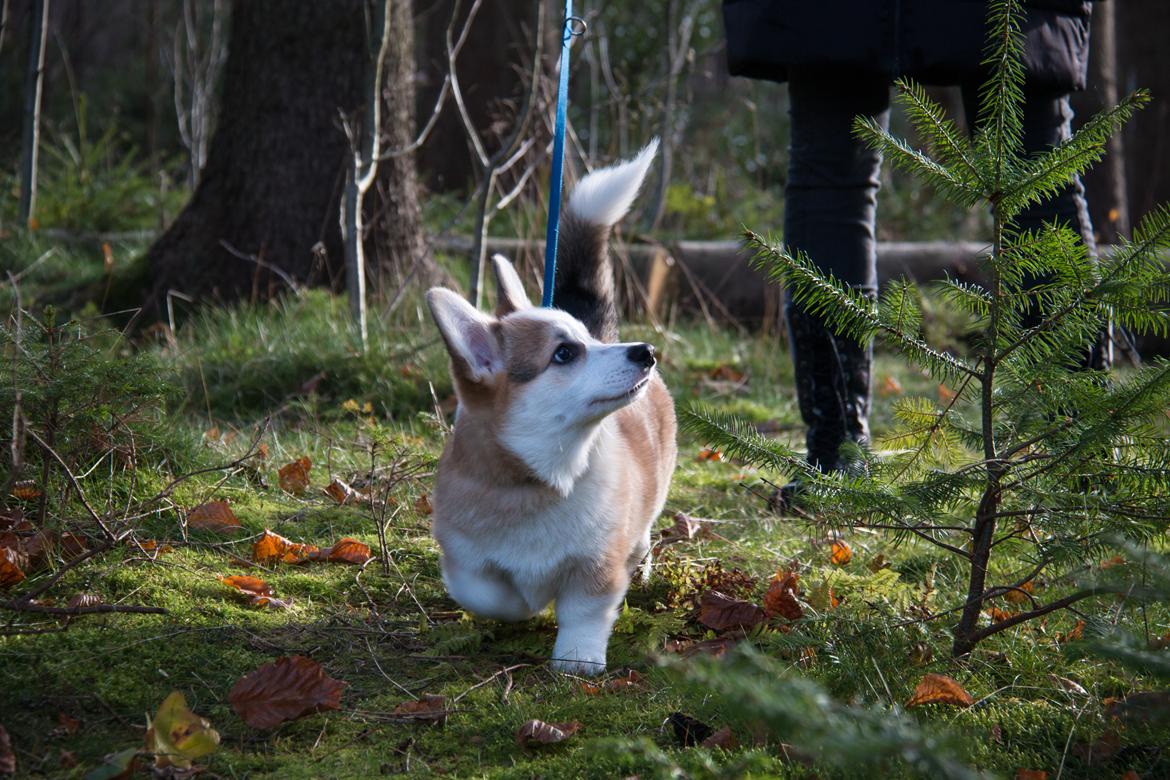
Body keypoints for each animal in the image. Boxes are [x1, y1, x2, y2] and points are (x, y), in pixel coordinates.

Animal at [428, 142, 678, 678]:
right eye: (564, 353)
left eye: (585, 341)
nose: (645, 352)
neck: (541, 479)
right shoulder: (465, 561)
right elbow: (489, 594)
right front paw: (524, 601)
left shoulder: (596, 565)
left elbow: (586, 609)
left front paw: (577, 657)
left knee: (644, 533)